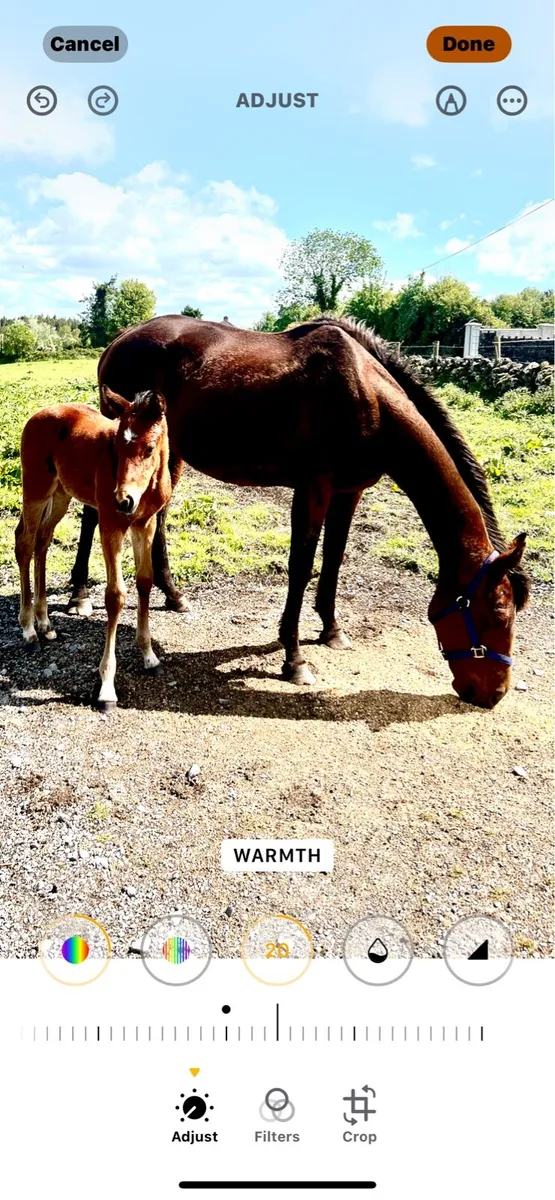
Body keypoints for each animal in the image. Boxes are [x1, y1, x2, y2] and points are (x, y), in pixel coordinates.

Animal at [15, 388, 172, 710]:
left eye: (150, 448)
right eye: (116, 447)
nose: (123, 500)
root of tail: (38, 414)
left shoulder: (145, 524)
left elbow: (145, 582)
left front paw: (149, 656)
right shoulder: (110, 525)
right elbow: (115, 596)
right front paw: (107, 688)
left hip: (61, 494)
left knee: (42, 541)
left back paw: (45, 623)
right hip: (36, 488)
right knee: (25, 542)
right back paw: (28, 630)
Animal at [69, 316, 530, 709]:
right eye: (496, 613)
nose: (494, 694)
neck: (366, 394)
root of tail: (121, 338)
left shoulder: (349, 492)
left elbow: (334, 558)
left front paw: (331, 629)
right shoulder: (312, 491)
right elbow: (301, 567)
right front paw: (294, 660)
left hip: (167, 454)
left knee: (157, 519)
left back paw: (173, 593)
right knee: (95, 514)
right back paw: (79, 594)